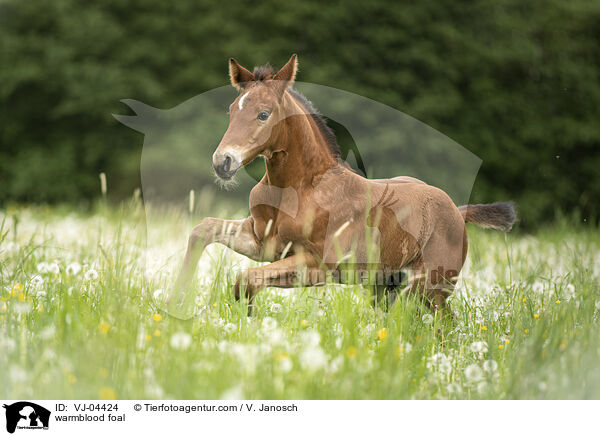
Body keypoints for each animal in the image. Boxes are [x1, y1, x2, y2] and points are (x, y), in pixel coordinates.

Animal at [170, 54, 516, 312]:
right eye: (232, 110)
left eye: (263, 114)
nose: (222, 162)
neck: (299, 189)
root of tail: (457, 210)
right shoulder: (263, 244)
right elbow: (203, 229)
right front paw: (177, 299)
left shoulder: (317, 267)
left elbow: (247, 279)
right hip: (386, 286)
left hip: (431, 289)